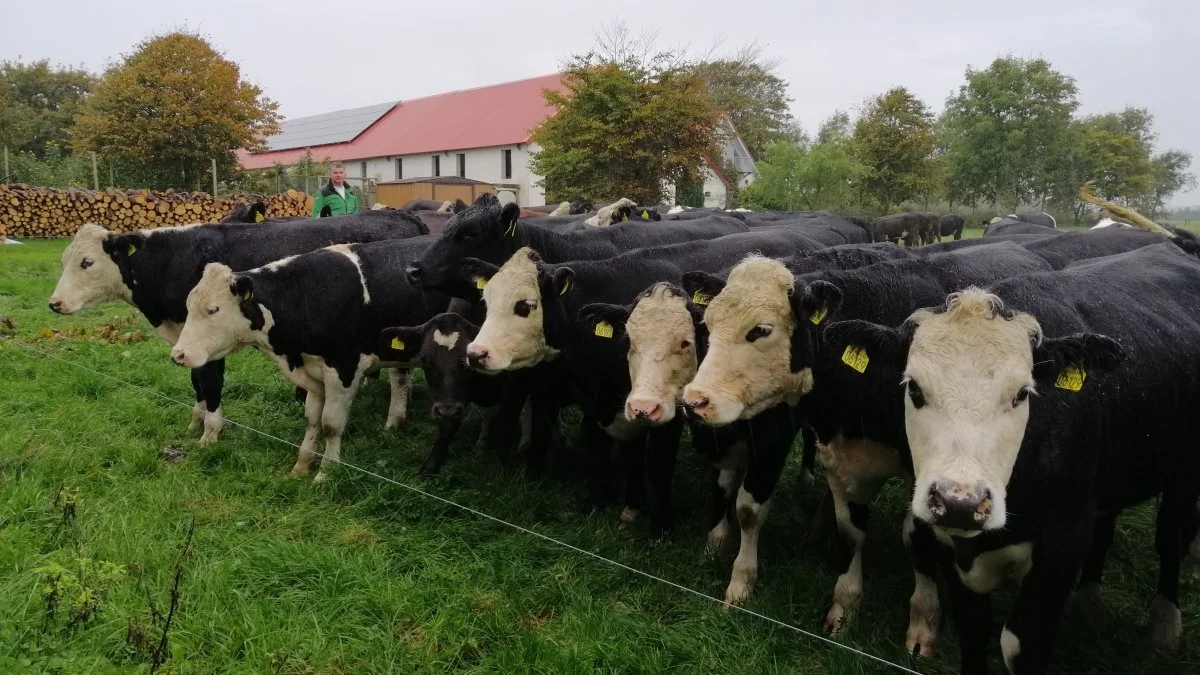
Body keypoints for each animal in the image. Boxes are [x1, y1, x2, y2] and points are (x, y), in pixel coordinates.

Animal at [49, 207, 432, 444]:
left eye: (87, 262)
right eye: (64, 260)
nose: (54, 303)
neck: (173, 258)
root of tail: (401, 214)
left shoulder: (209, 340)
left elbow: (209, 383)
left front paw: (210, 431)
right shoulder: (191, 340)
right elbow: (195, 382)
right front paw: (195, 421)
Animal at [171, 234, 448, 480]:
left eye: (213, 309)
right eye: (188, 306)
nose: (178, 355)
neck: (307, 294)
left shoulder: (344, 370)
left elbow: (331, 424)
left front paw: (326, 473)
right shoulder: (313, 373)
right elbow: (313, 419)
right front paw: (302, 465)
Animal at [825, 242, 1200, 672]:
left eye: (1022, 393)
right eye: (914, 389)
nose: (960, 502)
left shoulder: (1060, 547)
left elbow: (1017, 644)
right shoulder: (953, 546)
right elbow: (973, 633)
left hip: (1183, 476)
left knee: (1172, 536)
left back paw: (1165, 625)